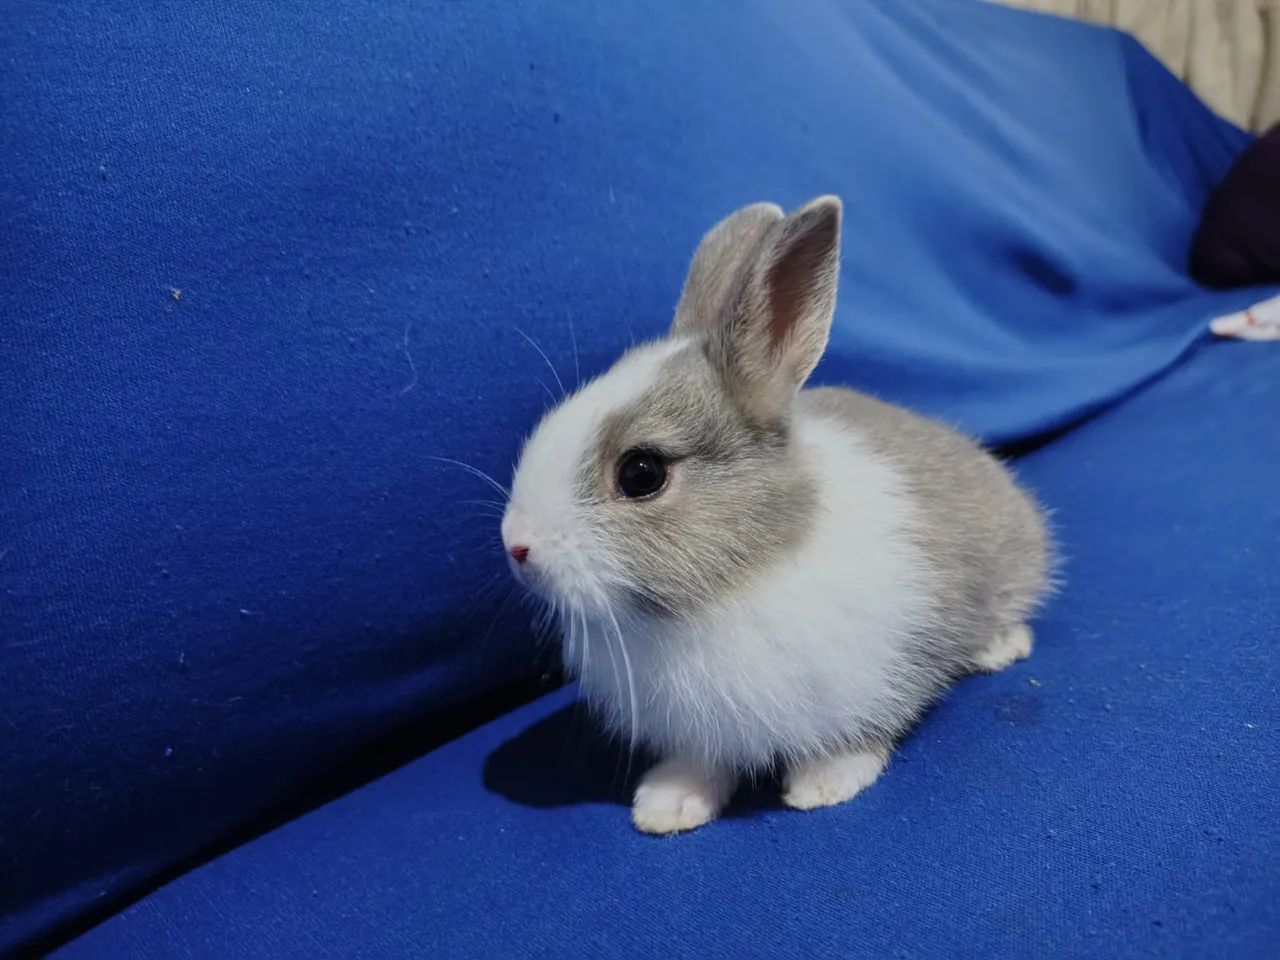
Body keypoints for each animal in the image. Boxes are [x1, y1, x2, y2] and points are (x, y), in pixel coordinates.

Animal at [500, 196, 1052, 834]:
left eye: (642, 473)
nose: (516, 545)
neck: (731, 583)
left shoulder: (870, 678)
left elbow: (858, 734)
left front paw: (824, 785)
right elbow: (701, 763)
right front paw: (665, 805)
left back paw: (999, 649)